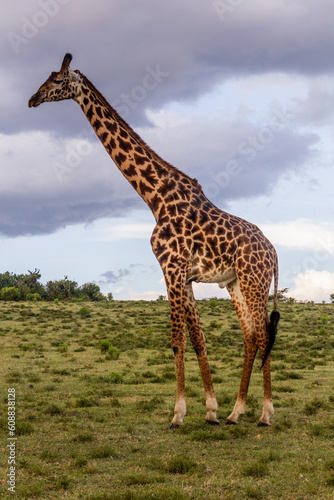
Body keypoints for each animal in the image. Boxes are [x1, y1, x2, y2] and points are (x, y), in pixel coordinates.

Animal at [28, 55, 280, 430]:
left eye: (57, 79)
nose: (33, 99)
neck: (154, 197)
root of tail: (273, 252)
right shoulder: (184, 276)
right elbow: (198, 340)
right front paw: (211, 410)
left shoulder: (171, 269)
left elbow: (177, 340)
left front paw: (178, 414)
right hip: (234, 282)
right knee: (250, 337)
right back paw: (236, 412)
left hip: (254, 281)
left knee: (263, 335)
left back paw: (265, 413)